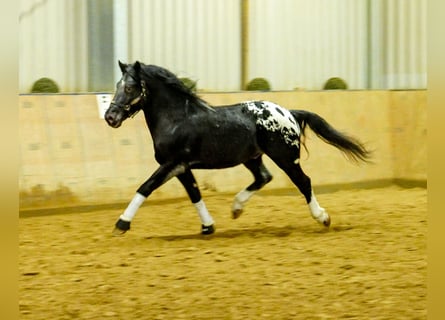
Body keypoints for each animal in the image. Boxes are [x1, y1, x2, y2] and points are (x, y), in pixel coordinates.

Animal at [104, 61, 368, 235]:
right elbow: (195, 193)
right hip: (252, 157)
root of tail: (290, 113)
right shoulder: (182, 167)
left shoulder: (172, 163)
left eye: (129, 88)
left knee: (304, 182)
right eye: (117, 84)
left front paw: (121, 224)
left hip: (285, 157)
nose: (110, 117)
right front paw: (208, 227)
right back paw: (236, 208)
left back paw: (322, 218)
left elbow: (145, 187)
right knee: (263, 177)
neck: (177, 118)